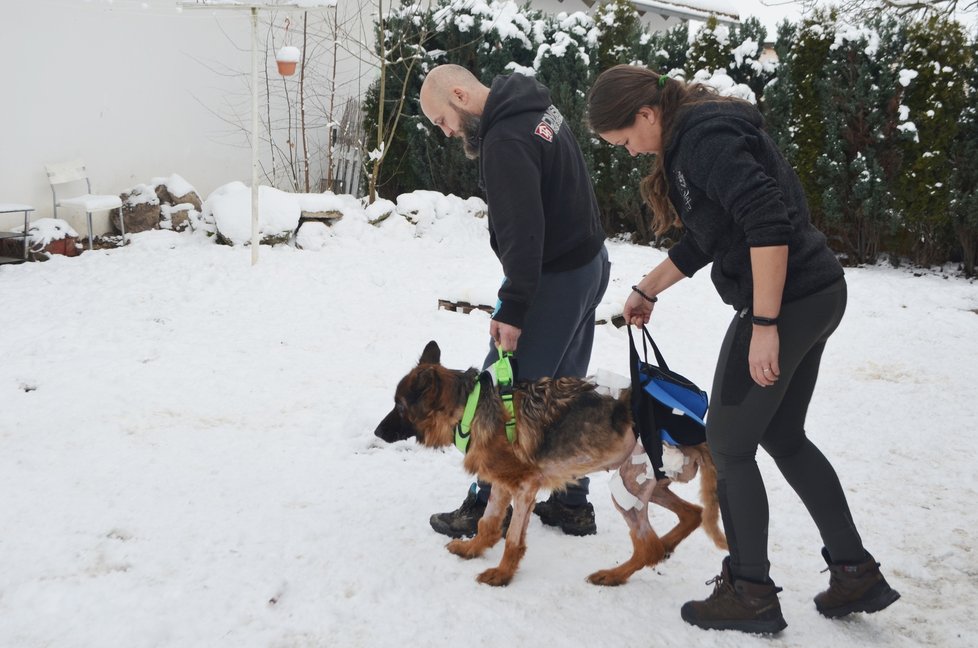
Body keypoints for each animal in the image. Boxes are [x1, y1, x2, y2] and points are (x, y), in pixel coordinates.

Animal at [374, 342, 724, 584]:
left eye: (400, 407)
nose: (376, 432)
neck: (471, 407)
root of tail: (698, 428)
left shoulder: (525, 488)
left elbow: (512, 540)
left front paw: (502, 575)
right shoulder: (501, 484)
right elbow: (488, 524)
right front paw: (472, 549)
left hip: (627, 487)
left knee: (648, 546)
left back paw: (613, 576)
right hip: (646, 485)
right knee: (693, 514)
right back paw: (665, 547)